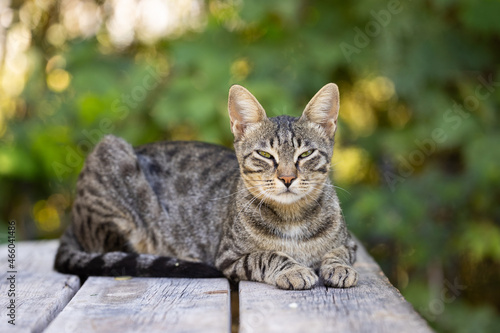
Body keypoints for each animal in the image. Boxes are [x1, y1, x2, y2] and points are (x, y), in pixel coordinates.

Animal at [54, 82, 358, 288]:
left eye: (305, 155)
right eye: (265, 155)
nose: (286, 178)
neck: (292, 217)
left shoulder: (350, 243)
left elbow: (339, 252)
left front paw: (338, 268)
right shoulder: (228, 257)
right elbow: (268, 255)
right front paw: (293, 269)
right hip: (110, 156)